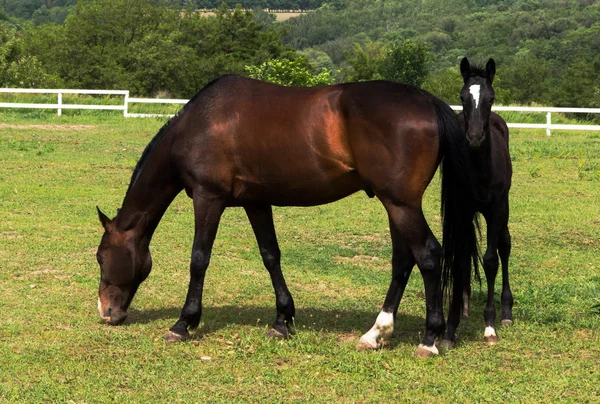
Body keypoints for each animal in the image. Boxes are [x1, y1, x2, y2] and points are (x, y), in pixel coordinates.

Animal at [95, 75, 478, 356]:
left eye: (100, 256)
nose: (106, 312)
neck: (201, 124)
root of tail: (428, 102)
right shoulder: (256, 202)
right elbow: (270, 256)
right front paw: (282, 320)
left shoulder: (208, 198)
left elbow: (199, 259)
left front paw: (183, 323)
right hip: (395, 205)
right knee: (403, 260)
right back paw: (375, 333)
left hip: (401, 204)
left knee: (428, 256)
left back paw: (429, 339)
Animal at [440, 58, 516, 348]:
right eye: (462, 97)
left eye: (491, 98)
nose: (474, 137)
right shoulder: (461, 210)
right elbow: (460, 261)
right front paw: (449, 330)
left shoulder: (496, 210)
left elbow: (491, 260)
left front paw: (490, 325)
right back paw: (463, 304)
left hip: (504, 209)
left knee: (505, 246)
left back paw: (506, 312)